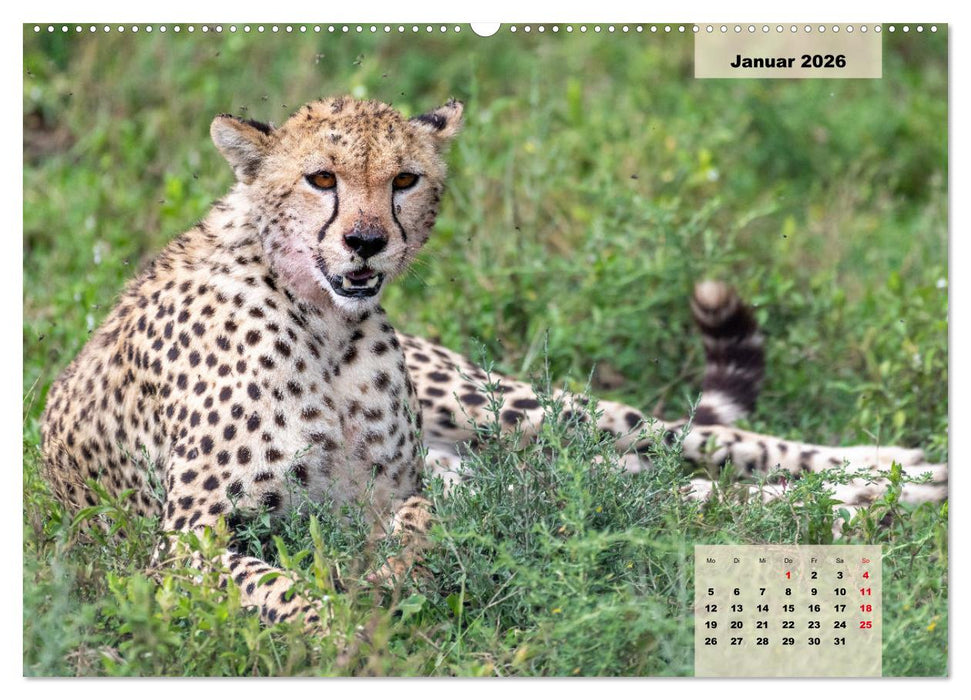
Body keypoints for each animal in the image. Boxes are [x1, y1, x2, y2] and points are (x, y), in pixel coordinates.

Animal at [40, 96, 947, 631]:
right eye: (320, 178)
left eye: (405, 179)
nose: (365, 241)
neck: (324, 324)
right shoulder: (189, 542)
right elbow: (291, 588)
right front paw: (354, 627)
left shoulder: (386, 495)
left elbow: (386, 540)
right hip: (534, 470)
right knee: (682, 501)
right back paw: (867, 505)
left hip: (514, 409)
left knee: (707, 446)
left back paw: (897, 473)